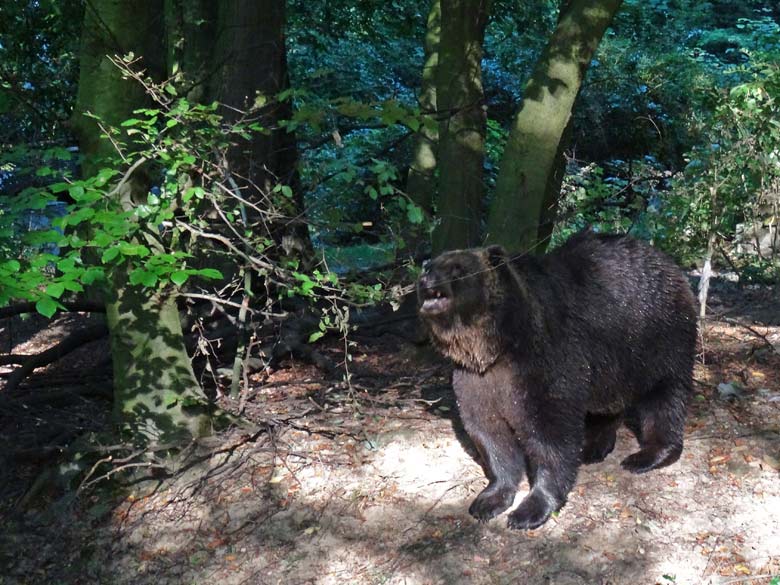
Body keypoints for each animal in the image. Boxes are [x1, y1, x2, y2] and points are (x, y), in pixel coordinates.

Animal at [418, 232, 696, 528]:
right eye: (430, 264)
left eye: (456, 268)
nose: (425, 277)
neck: (497, 345)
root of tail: (668, 262)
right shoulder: (476, 379)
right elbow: (489, 434)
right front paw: (488, 500)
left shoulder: (543, 363)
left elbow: (550, 435)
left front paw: (530, 510)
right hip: (612, 367)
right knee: (607, 405)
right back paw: (594, 446)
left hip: (658, 338)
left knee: (664, 397)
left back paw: (647, 455)